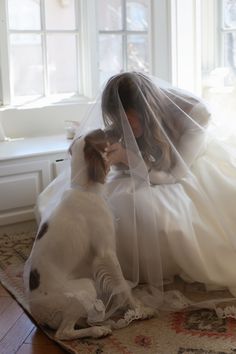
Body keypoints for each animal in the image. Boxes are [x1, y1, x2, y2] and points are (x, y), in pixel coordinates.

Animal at [24, 129, 149, 340]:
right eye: (104, 133)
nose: (119, 129)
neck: (84, 188)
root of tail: (37, 316)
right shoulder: (106, 252)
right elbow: (122, 285)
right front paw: (139, 309)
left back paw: (102, 321)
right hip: (85, 286)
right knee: (63, 333)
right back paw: (99, 330)